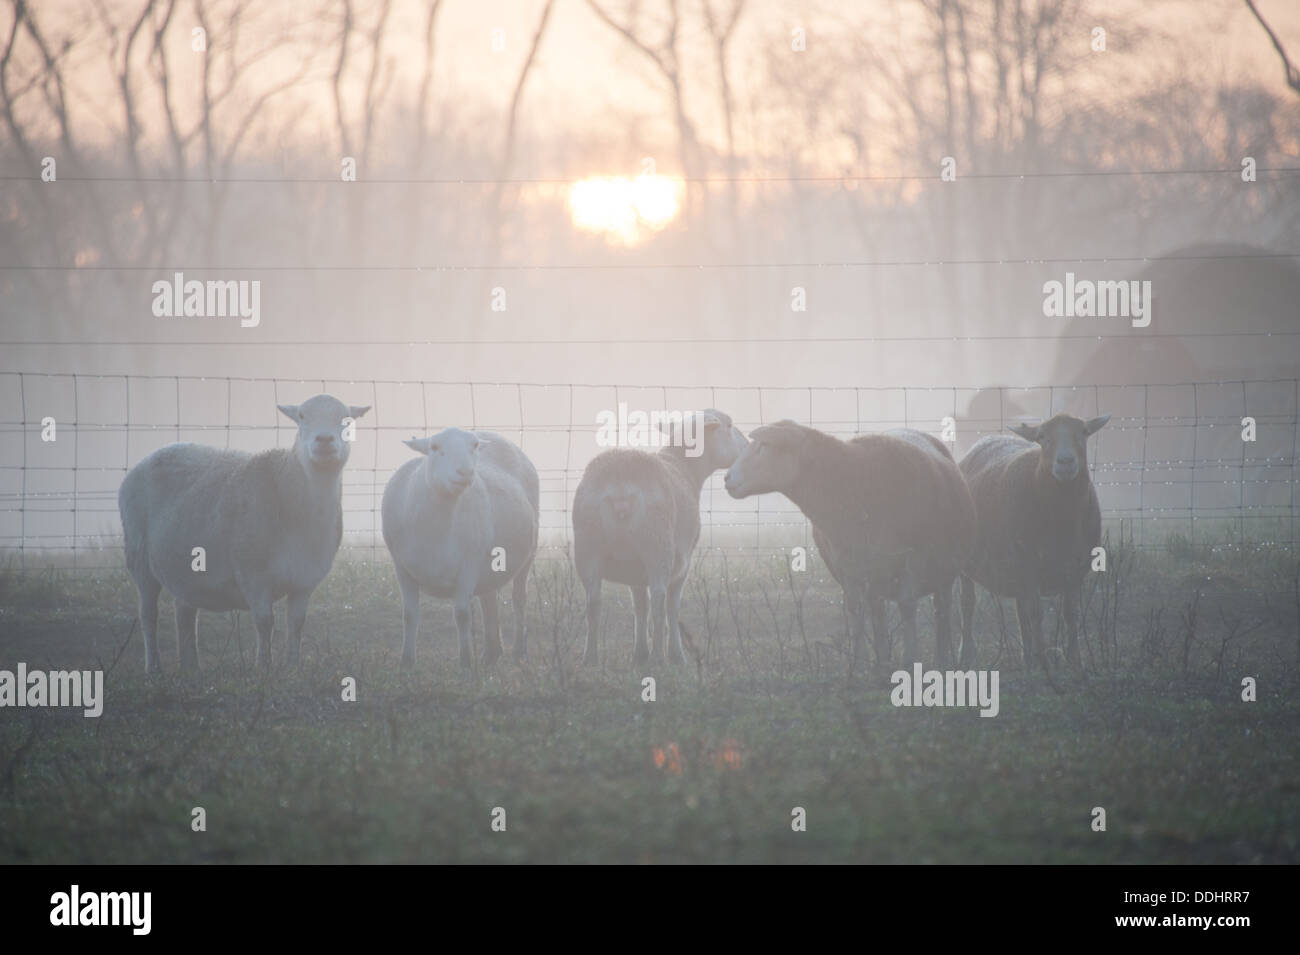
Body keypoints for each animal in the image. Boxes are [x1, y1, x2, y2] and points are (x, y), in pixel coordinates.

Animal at [119, 394, 370, 672]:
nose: (324, 440)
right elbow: (264, 621)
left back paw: (191, 668)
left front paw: (292, 668)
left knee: (184, 613)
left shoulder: (305, 580)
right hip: (138, 557)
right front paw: (264, 668)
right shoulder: (252, 573)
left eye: (346, 419)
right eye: (302, 416)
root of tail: (155, 453)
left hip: (184, 568)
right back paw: (154, 667)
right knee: (148, 614)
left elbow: (296, 624)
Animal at [382, 427, 539, 669]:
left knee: (519, 598)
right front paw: (407, 662)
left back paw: (517, 652)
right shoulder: (401, 567)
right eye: (434, 447)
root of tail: (491, 434)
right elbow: (409, 614)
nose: (465, 472)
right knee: (489, 599)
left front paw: (465, 662)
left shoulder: (469, 566)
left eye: (473, 446)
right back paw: (491, 653)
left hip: (528, 551)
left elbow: (463, 614)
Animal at [573, 409, 748, 666]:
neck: (685, 466)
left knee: (593, 602)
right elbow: (672, 607)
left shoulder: (633, 568)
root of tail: (620, 484)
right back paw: (659, 658)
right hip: (657, 546)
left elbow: (639, 606)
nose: (748, 445)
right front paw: (675, 655)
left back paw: (590, 658)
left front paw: (639, 654)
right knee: (658, 600)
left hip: (588, 546)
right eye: (729, 425)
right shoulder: (683, 563)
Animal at [724, 421, 975, 669]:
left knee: (942, 610)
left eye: (763, 446)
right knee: (878, 611)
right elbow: (855, 609)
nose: (727, 478)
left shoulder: (914, 559)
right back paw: (883, 662)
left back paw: (942, 661)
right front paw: (858, 664)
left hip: (946, 570)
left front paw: (909, 661)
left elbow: (906, 606)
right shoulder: (846, 566)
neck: (855, 484)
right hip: (877, 575)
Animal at [957, 413, 1111, 669]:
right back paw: (968, 655)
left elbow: (1071, 614)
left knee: (1021, 612)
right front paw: (1044, 660)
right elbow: (1036, 614)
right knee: (968, 606)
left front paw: (1074, 660)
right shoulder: (1029, 566)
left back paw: (1027, 659)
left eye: (1083, 432)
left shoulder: (1075, 570)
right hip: (969, 564)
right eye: (1042, 437)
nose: (1066, 461)